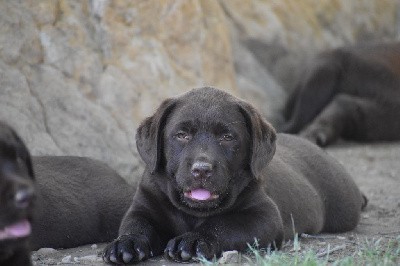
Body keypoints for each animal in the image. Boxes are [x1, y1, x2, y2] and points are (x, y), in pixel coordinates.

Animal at [102, 88, 366, 264]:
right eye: (182, 135)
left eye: (227, 137)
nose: (201, 169)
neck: (193, 213)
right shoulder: (142, 207)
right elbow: (136, 225)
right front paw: (125, 243)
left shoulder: (264, 217)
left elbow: (223, 225)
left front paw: (194, 240)